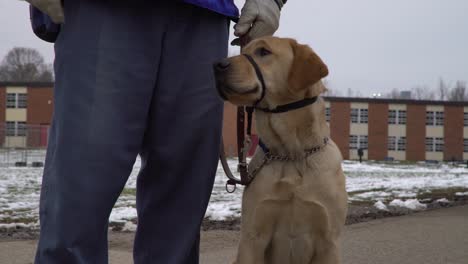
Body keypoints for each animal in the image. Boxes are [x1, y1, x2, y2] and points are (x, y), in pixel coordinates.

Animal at [213, 36, 348, 262]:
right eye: (243, 50)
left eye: (263, 52)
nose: (216, 65)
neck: (290, 153)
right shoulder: (252, 236)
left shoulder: (330, 240)